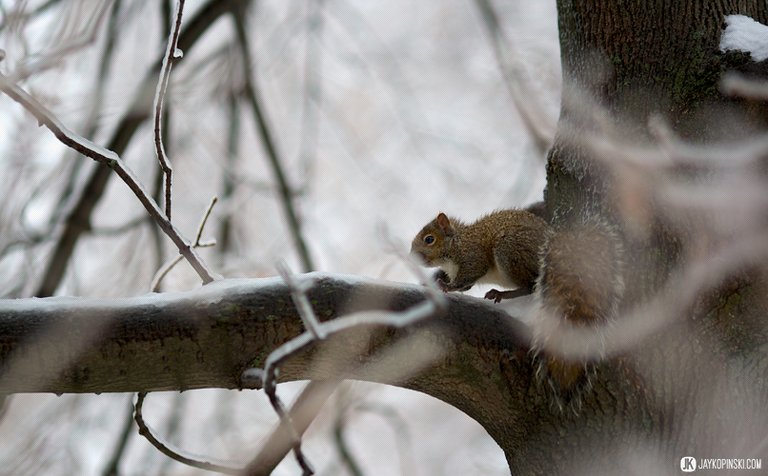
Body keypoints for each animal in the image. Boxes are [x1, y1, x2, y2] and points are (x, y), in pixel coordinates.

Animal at [412, 209, 548, 302]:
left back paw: (500, 294)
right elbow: (466, 286)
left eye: (429, 239)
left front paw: (447, 286)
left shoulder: (473, 255)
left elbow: (472, 273)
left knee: (529, 287)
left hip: (509, 252)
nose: (412, 257)